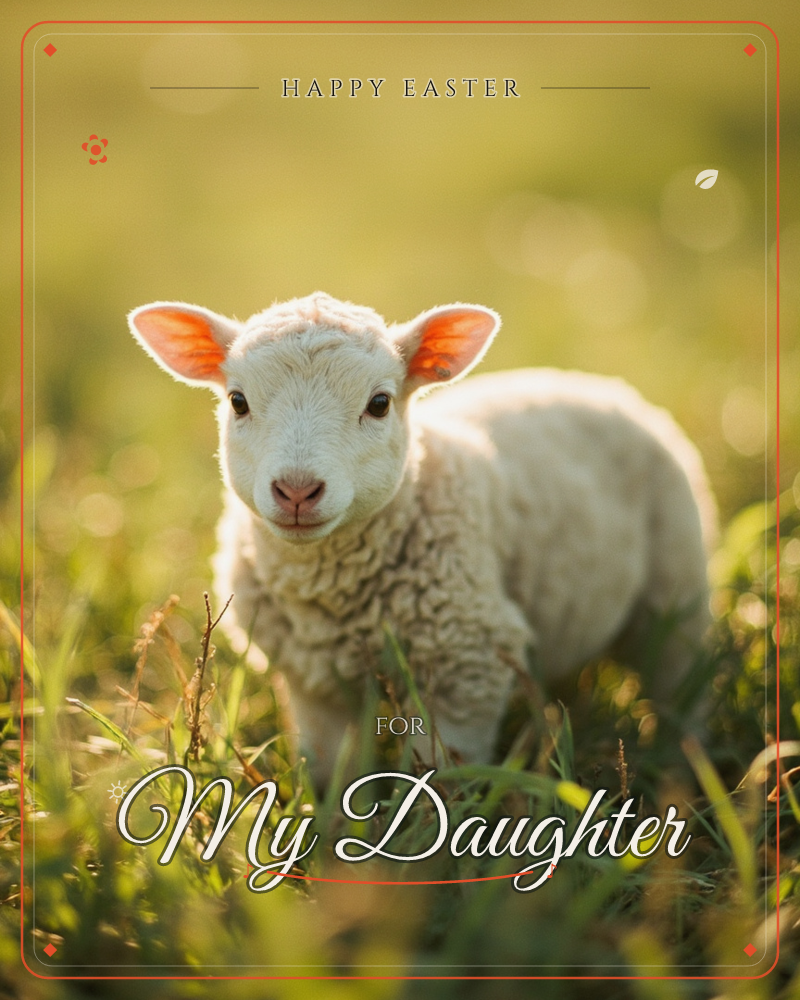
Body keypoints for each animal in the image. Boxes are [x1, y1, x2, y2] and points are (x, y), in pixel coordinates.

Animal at [129, 292, 717, 784]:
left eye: (380, 403)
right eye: (238, 401)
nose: (297, 491)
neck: (331, 598)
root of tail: (605, 387)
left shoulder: (465, 663)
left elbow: (440, 777)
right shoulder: (315, 687)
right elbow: (333, 771)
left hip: (677, 587)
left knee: (680, 681)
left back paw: (685, 763)